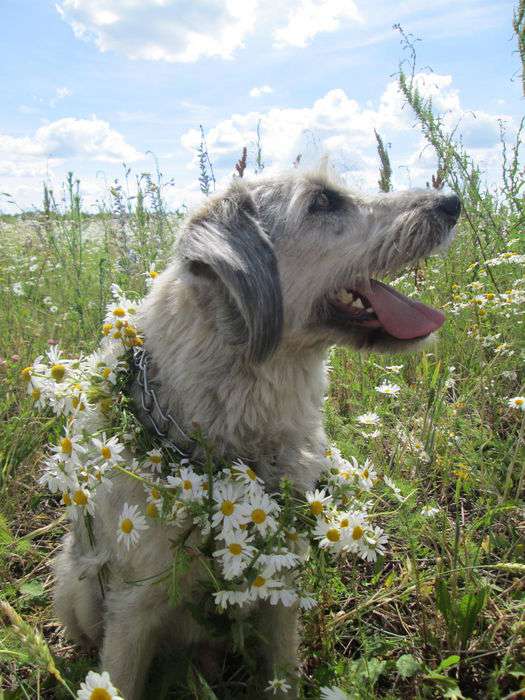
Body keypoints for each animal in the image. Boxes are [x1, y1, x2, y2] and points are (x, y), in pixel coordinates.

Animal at [53, 171, 458, 700]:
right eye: (323, 201)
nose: (452, 202)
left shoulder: (281, 587)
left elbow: (283, 672)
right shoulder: (132, 610)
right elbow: (117, 678)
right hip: (77, 586)